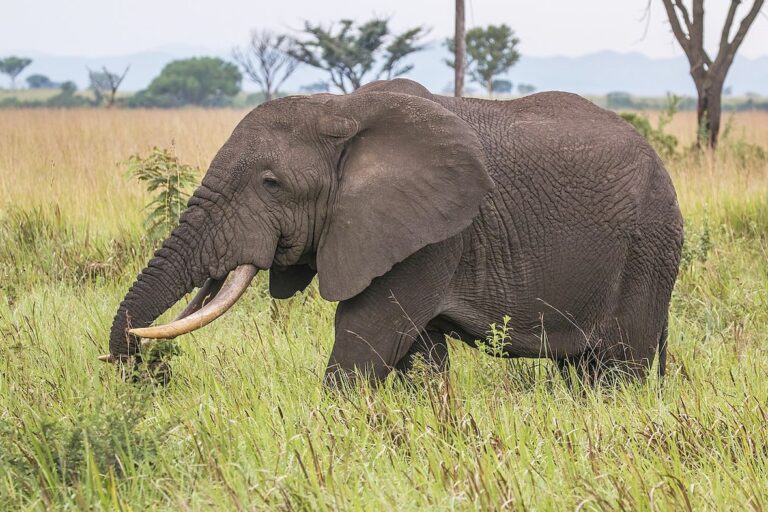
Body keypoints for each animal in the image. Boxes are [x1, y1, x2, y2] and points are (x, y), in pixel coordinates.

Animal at [103, 79, 684, 384]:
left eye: (270, 184)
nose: (136, 369)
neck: (340, 111)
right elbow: (418, 354)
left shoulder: (436, 235)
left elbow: (366, 336)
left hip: (647, 247)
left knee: (617, 368)